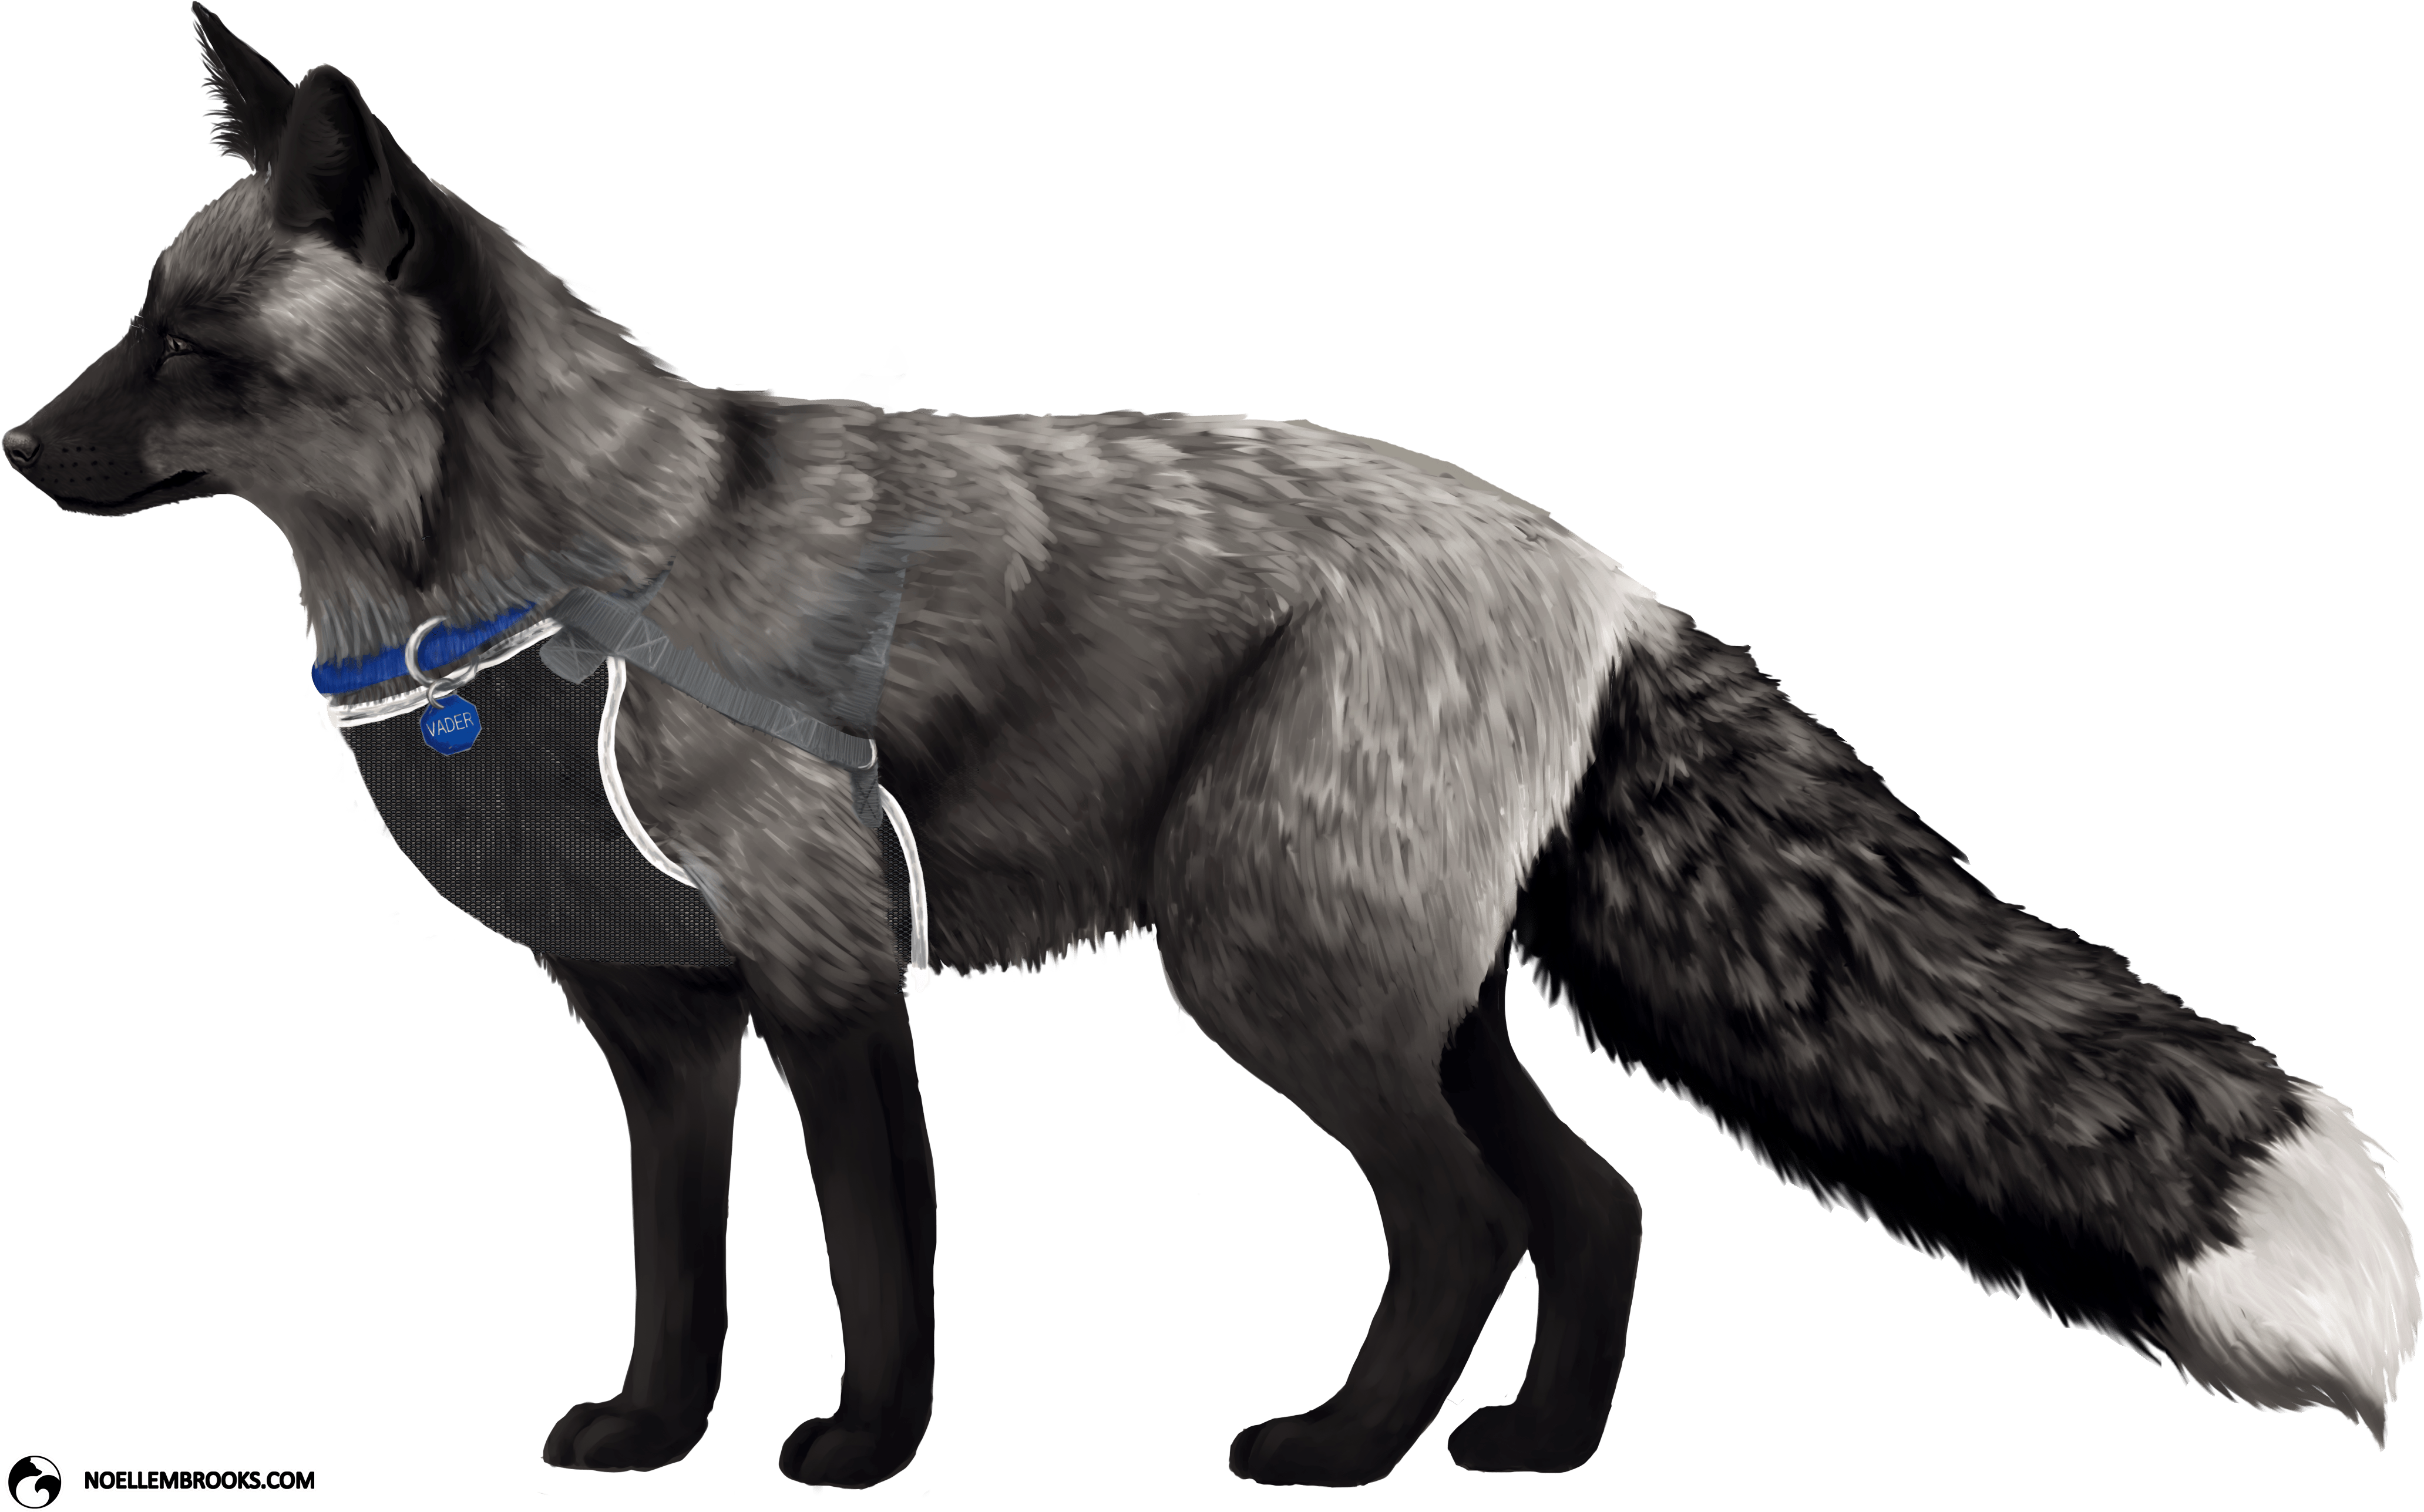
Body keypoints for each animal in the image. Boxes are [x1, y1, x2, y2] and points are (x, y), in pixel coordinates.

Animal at [9, 4, 2415, 1491]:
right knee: (1601, 1205)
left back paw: (1341, 1455)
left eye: (201, 355)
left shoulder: (825, 982)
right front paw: (651, 1435)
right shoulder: (660, 1032)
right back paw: (1528, 1450)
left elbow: (878, 1269)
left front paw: (864, 1456)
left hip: (1265, 971)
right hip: (1393, 992)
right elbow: (679, 1276)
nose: (15, 449)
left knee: (1464, 1220)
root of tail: (1597, 567)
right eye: (134, 323)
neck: (568, 590)